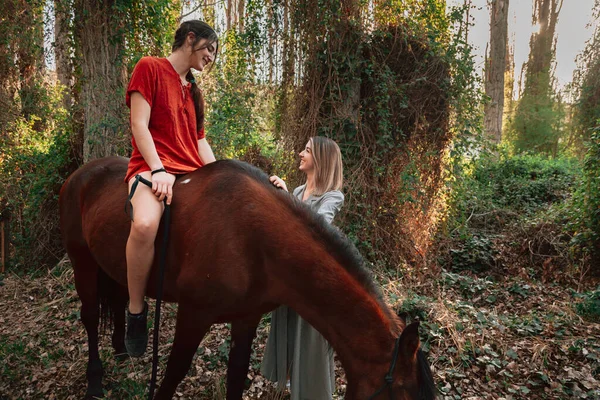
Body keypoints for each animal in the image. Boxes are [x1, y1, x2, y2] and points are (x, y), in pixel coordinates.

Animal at [59, 157, 436, 400]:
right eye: (404, 397)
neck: (254, 241)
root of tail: (80, 174)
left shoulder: (247, 318)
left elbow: (236, 375)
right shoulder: (193, 314)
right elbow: (174, 372)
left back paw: (124, 349)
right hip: (82, 260)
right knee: (89, 317)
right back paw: (95, 381)